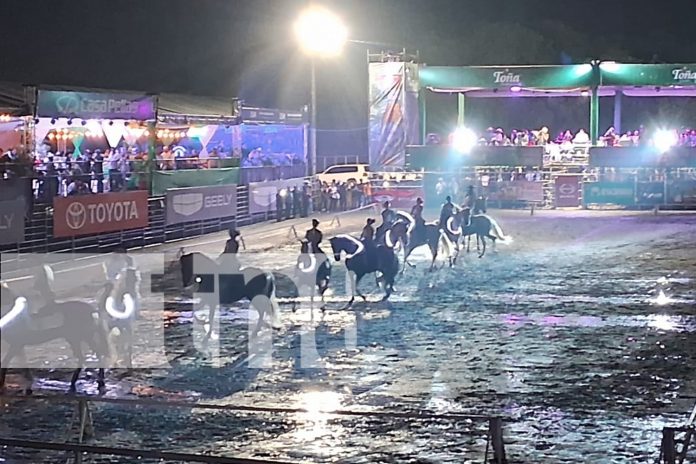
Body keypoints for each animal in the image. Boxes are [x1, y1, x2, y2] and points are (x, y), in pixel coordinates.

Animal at [0, 266, 110, 394]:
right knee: (89, 356)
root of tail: (93, 311)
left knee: (95, 354)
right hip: (77, 337)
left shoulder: (16, 345)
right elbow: (23, 366)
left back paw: (90, 382)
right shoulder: (19, 347)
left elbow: (5, 363)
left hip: (81, 336)